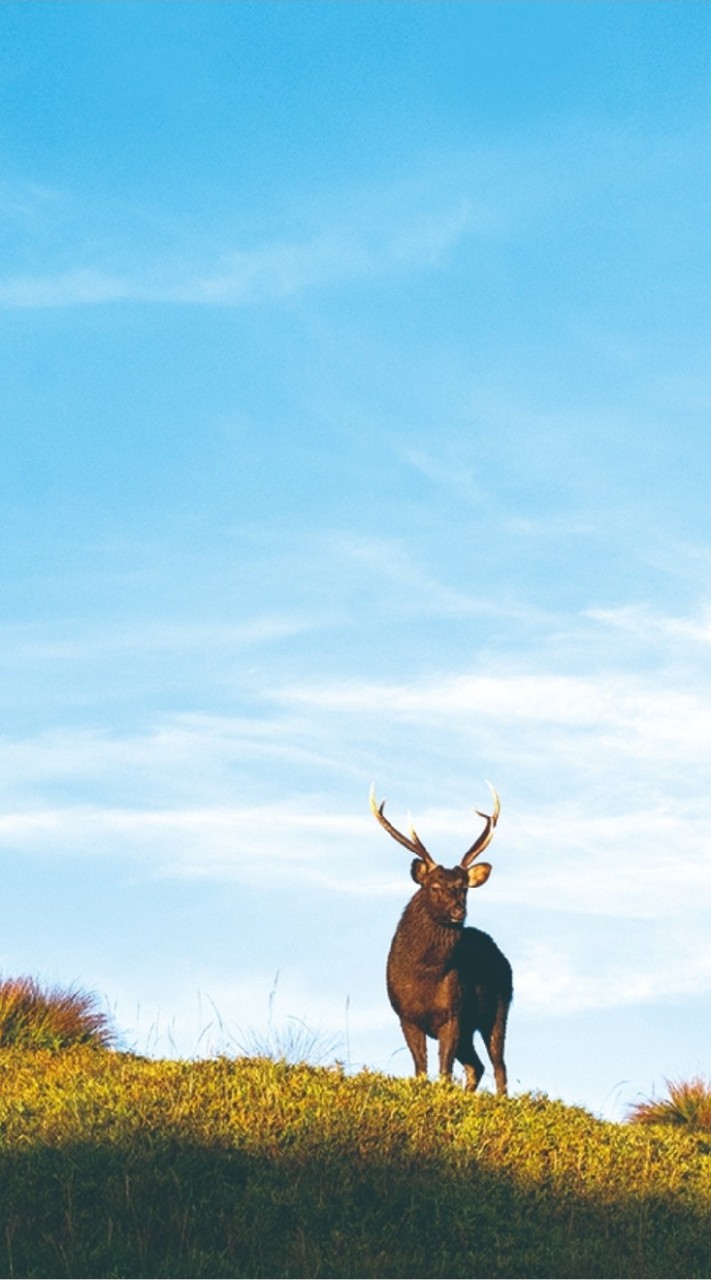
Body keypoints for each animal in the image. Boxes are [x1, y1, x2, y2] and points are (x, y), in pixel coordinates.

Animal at [374, 783, 512, 1095]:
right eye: (435, 886)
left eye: (464, 888)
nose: (458, 911)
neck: (424, 976)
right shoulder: (406, 1016)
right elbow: (421, 1069)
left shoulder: (453, 1014)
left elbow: (444, 1072)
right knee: (477, 1066)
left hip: (498, 1009)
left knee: (498, 1066)